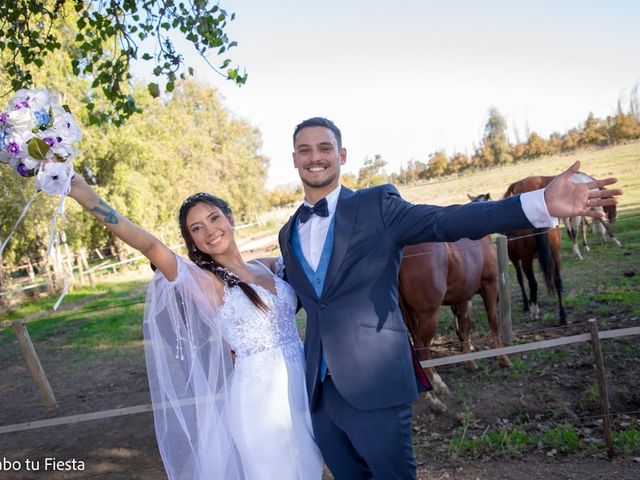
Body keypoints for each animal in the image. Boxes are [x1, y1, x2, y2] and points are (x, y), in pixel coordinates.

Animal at [400, 207, 510, 412]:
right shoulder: (490, 286)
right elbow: (493, 321)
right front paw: (503, 358)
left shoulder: (463, 297)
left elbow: (465, 326)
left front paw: (470, 361)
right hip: (428, 315)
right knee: (421, 348)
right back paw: (434, 397)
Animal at [502, 175, 568, 322]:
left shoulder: (515, 259)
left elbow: (520, 279)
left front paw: (526, 306)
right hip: (556, 254)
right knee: (558, 281)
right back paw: (563, 316)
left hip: (527, 260)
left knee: (533, 283)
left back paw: (534, 311)